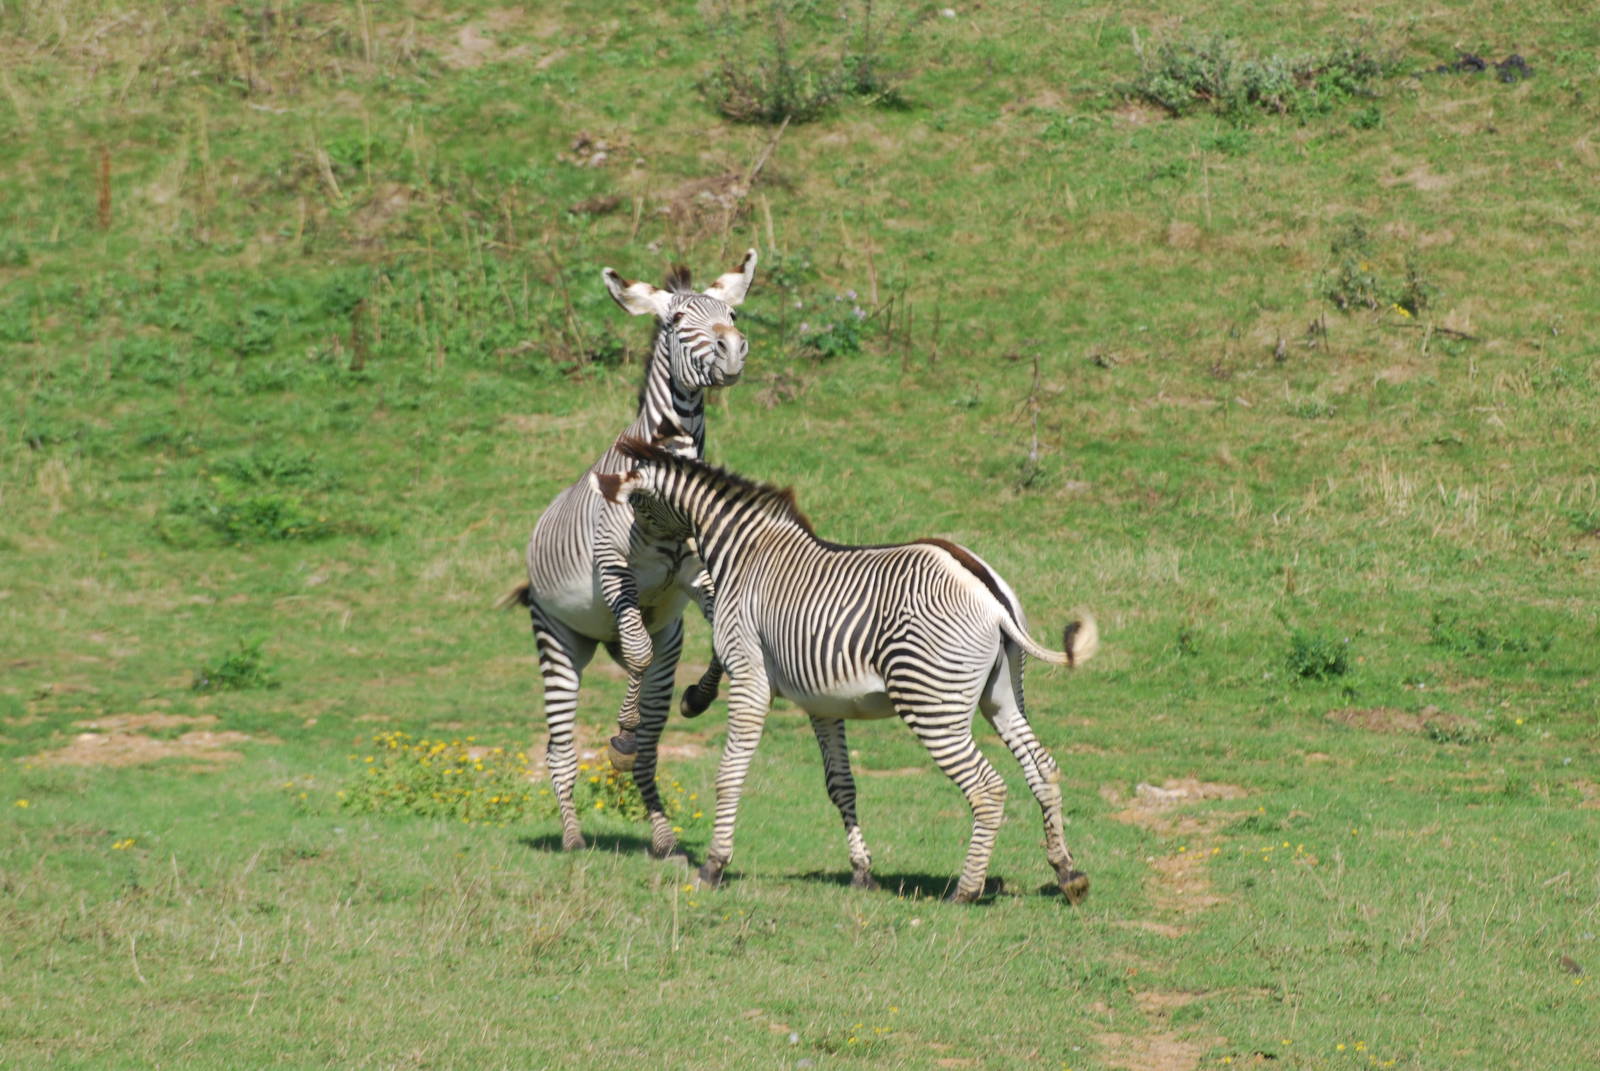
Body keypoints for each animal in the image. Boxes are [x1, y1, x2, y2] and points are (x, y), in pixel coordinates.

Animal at [502, 251, 756, 859]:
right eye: (677, 319)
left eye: (733, 311)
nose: (734, 349)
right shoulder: (616, 573)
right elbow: (636, 655)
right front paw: (618, 734)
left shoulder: (698, 579)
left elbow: (718, 637)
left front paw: (699, 697)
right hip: (559, 640)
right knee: (561, 748)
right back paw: (572, 836)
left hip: (665, 643)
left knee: (648, 751)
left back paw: (663, 838)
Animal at [592, 439, 1100, 904]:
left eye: (636, 505)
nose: (625, 574)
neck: (746, 552)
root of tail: (990, 595)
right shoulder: (823, 701)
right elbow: (842, 787)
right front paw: (862, 872)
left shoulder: (750, 676)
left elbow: (730, 772)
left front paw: (714, 866)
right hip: (1002, 695)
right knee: (1043, 769)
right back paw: (1068, 873)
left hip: (932, 703)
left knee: (989, 789)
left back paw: (967, 890)